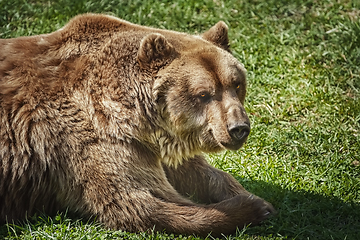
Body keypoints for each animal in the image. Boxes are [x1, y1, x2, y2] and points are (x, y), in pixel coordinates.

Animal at [0, 13, 272, 236]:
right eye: (204, 94)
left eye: (236, 84)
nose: (238, 128)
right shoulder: (86, 138)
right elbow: (138, 202)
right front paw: (253, 207)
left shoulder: (155, 144)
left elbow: (199, 172)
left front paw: (250, 196)